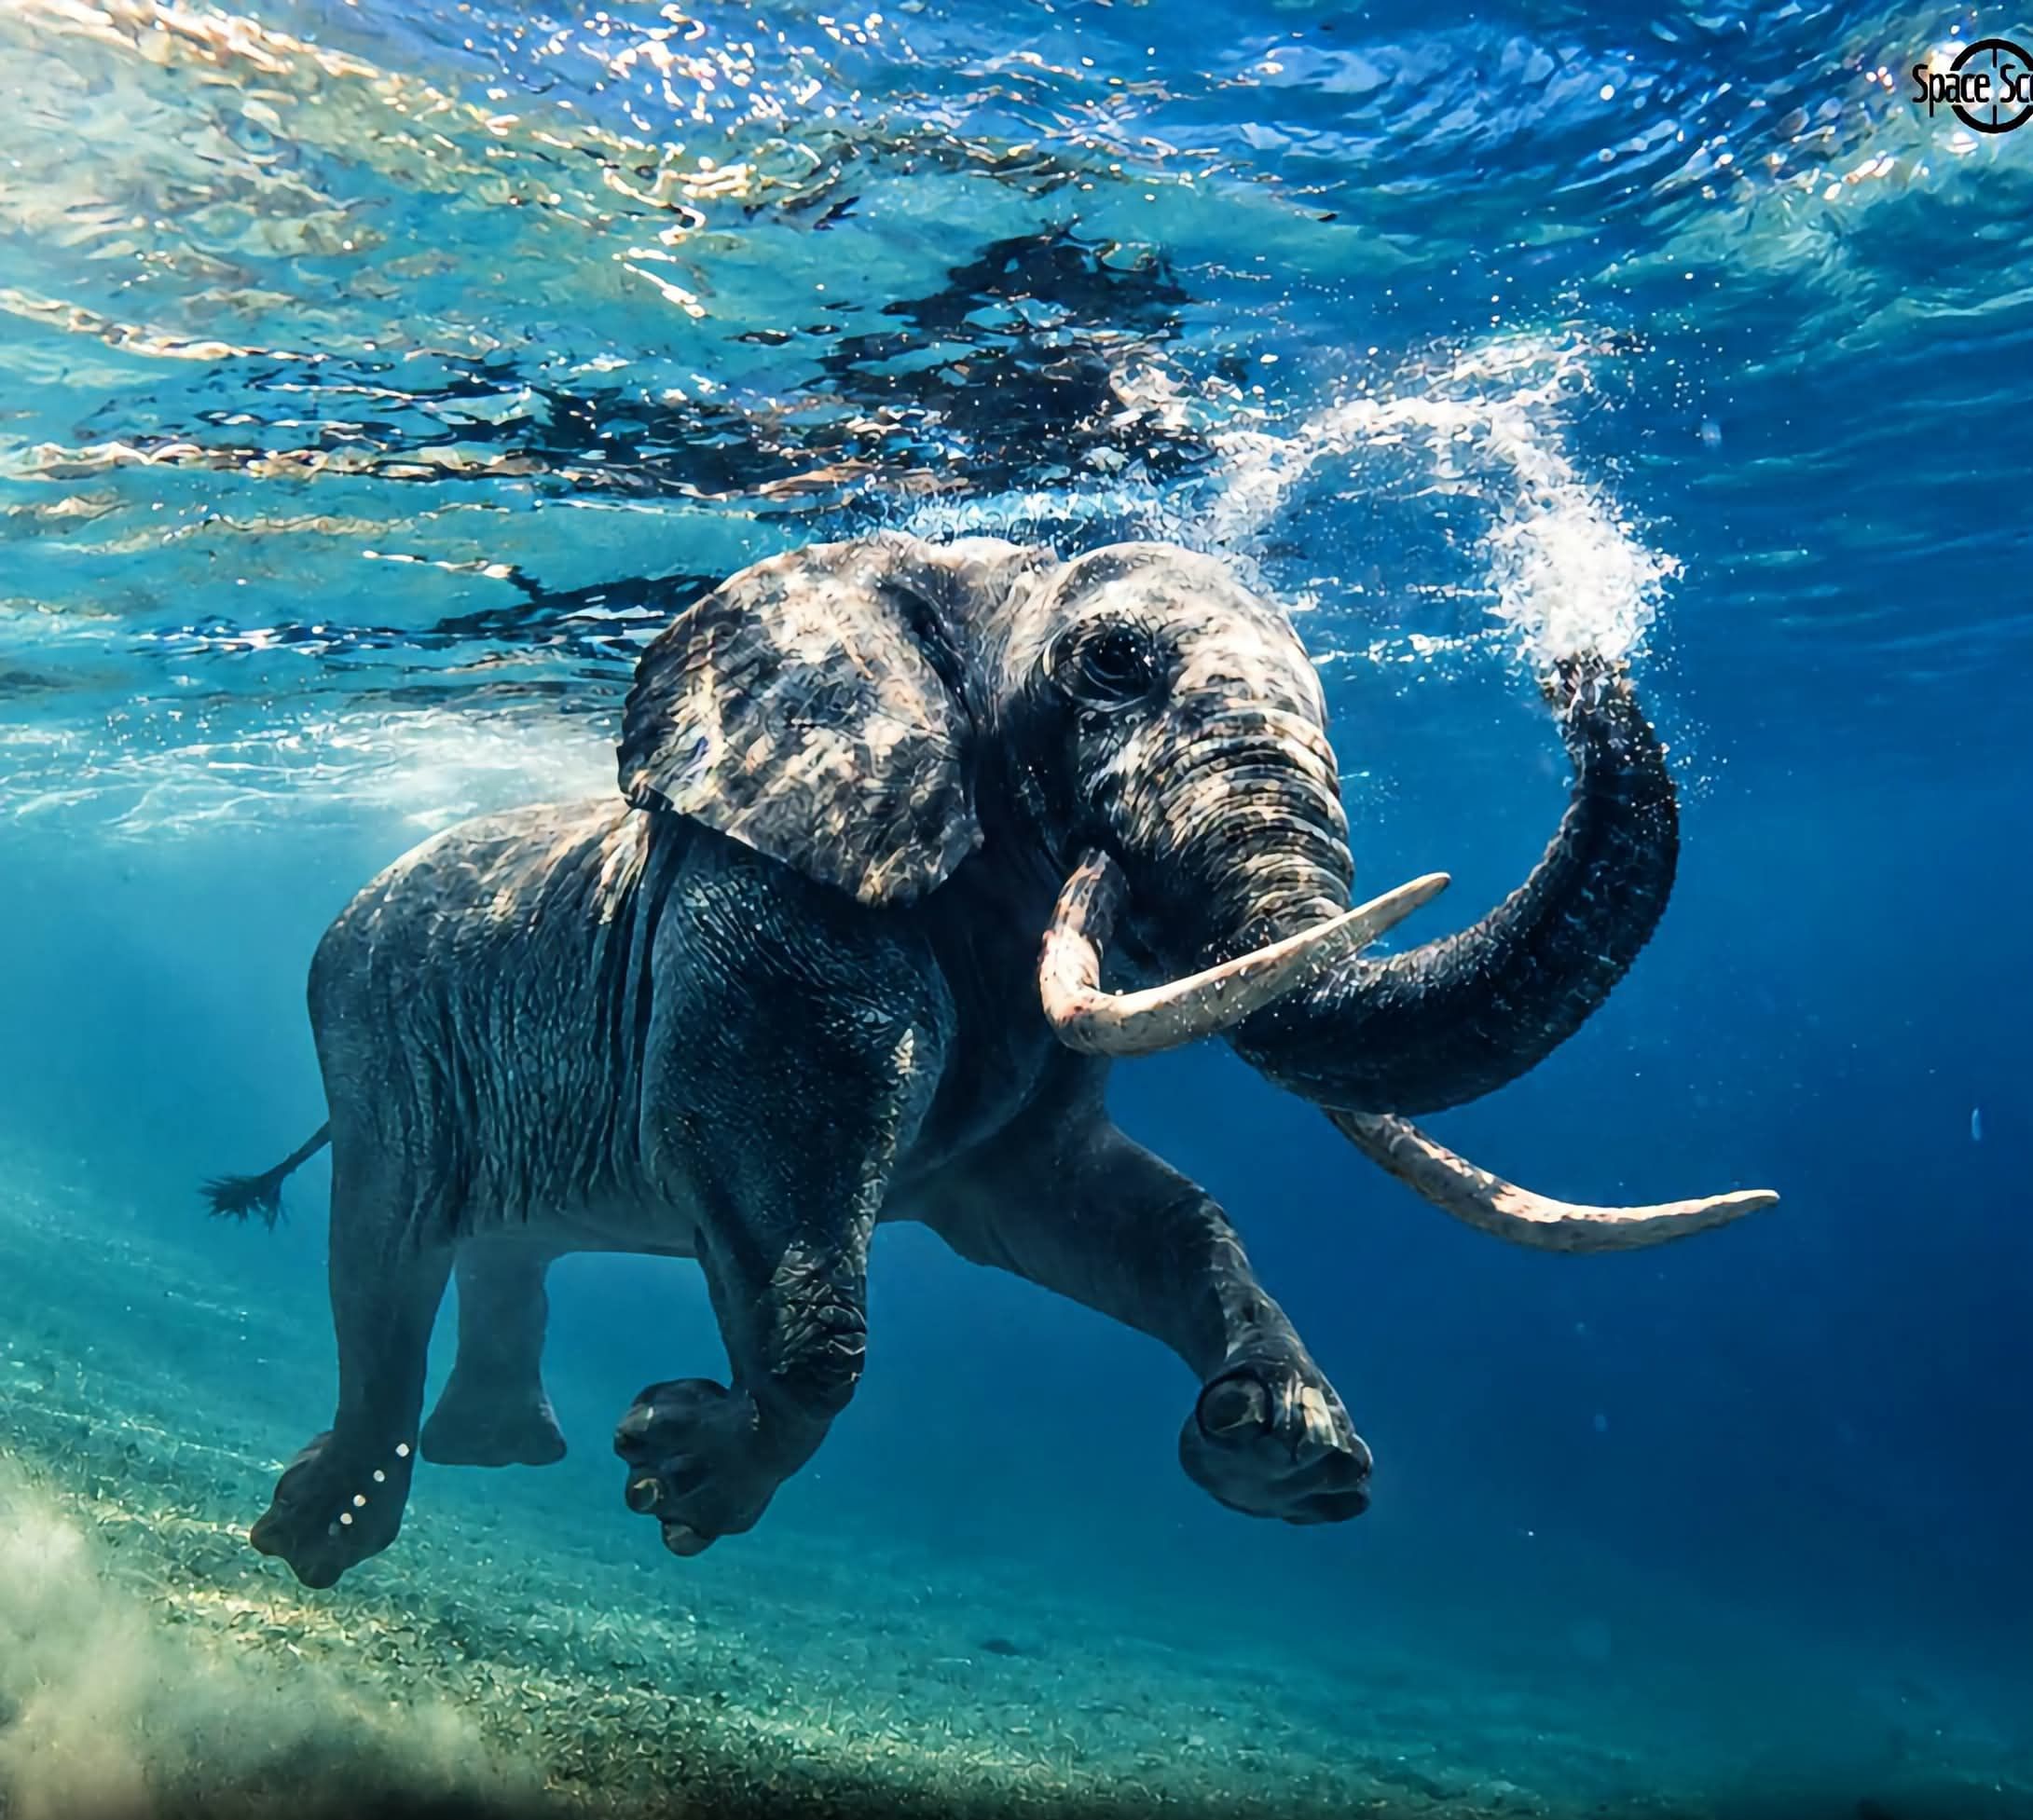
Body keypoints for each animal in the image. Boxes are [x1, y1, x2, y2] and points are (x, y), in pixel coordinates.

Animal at [204, 533, 1776, 1589]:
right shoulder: (778, 912)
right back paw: (314, 1538)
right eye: (1114, 664)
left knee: (499, 1247)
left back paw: (499, 1456)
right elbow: (759, 1162)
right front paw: (679, 1469)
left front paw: (1284, 1454)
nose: (1571, 657)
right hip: (373, 1029)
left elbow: (1109, 1206)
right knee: (385, 1258)